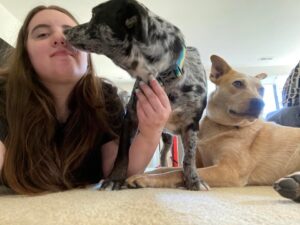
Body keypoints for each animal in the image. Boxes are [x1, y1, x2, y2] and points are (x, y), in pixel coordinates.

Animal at [64, 0, 207, 191]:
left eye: (94, 15)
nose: (65, 30)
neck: (164, 75)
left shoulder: (192, 125)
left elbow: (189, 157)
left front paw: (193, 180)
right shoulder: (131, 117)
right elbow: (122, 154)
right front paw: (115, 179)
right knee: (163, 152)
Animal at [125, 55, 300, 191]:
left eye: (262, 90)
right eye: (238, 83)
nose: (260, 104)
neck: (222, 126)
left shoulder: (228, 170)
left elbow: (175, 172)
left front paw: (143, 179)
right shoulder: (200, 162)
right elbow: (171, 167)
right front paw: (144, 173)